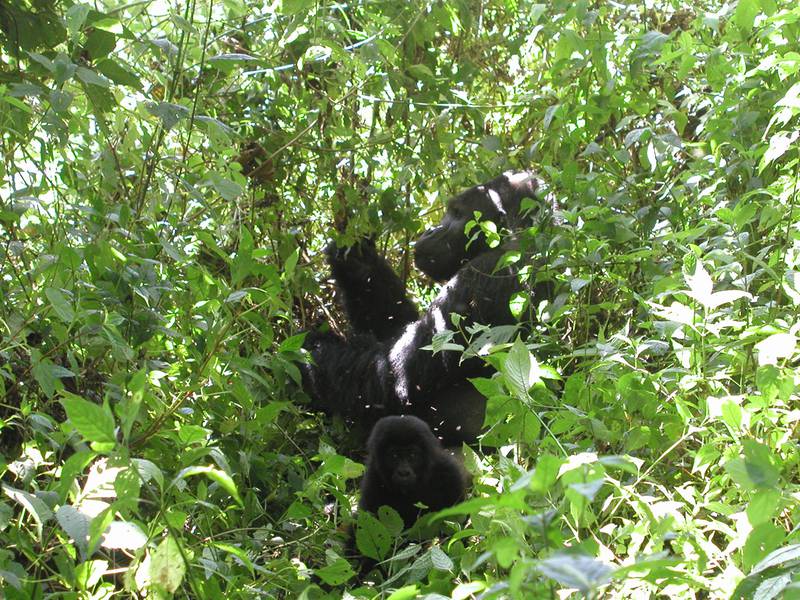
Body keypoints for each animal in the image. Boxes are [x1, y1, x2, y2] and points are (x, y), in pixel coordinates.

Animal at [304, 171, 540, 442]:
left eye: (457, 213)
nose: (430, 230)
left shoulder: (481, 277)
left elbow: (389, 380)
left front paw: (310, 352)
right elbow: (392, 330)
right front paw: (356, 259)